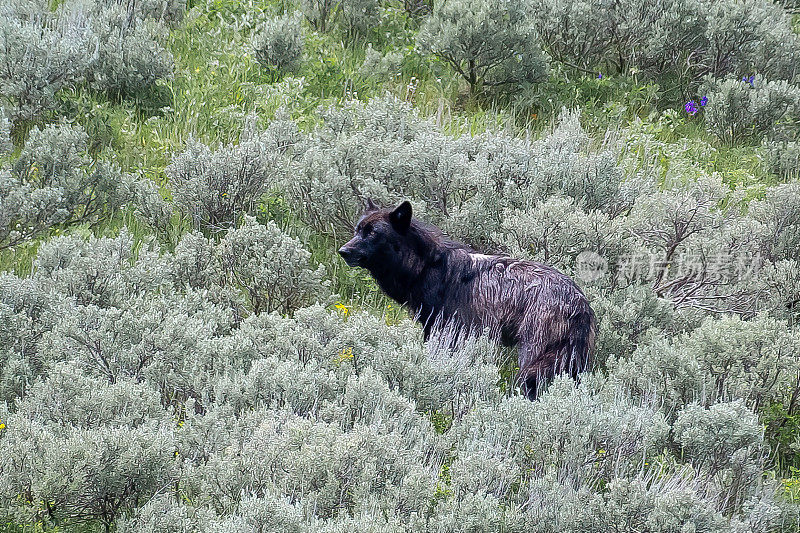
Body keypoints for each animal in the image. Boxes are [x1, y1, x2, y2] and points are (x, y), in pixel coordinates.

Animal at [336, 201, 592, 400]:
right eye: (358, 230)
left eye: (373, 233)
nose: (342, 251)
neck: (426, 267)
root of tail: (579, 302)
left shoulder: (443, 333)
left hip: (532, 356)